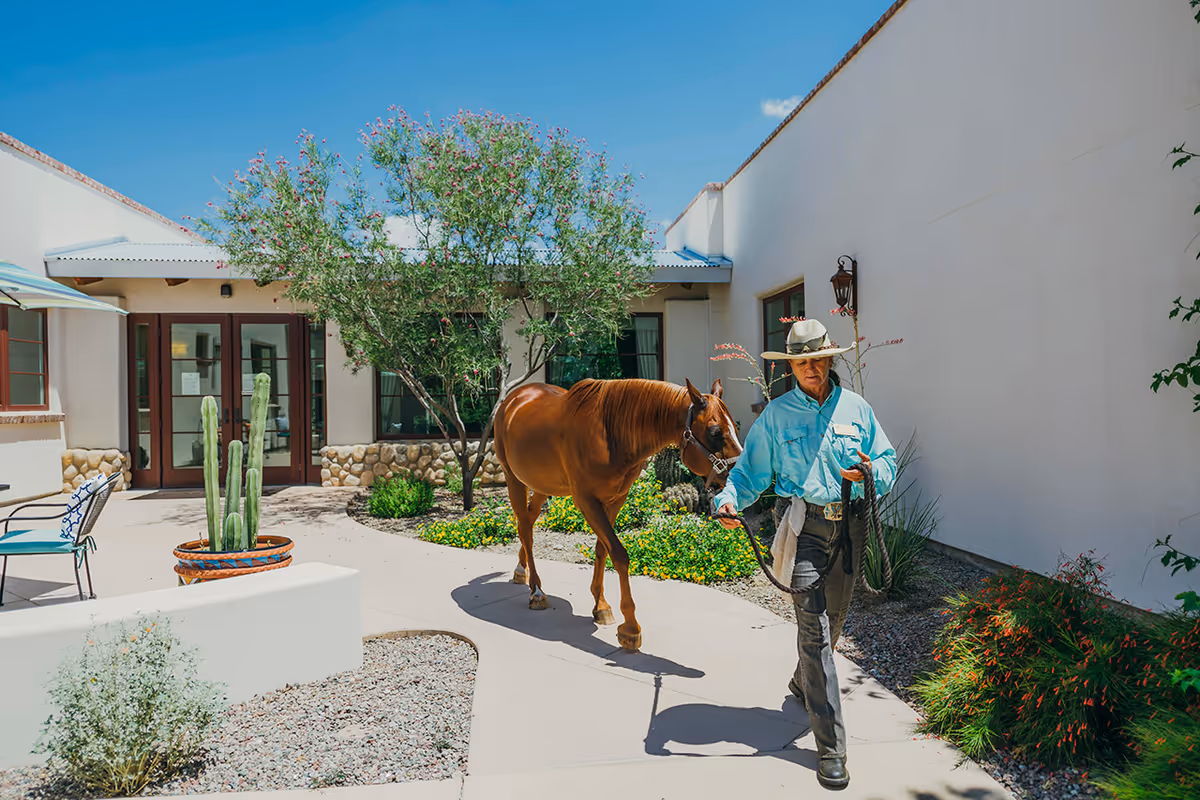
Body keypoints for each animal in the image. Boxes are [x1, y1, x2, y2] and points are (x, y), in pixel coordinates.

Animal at [492, 377, 743, 652]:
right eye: (715, 432)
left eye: (734, 428)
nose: (739, 472)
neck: (608, 434)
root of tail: (515, 397)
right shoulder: (586, 500)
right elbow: (619, 554)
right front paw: (630, 628)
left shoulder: (616, 499)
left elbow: (603, 550)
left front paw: (600, 606)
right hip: (513, 479)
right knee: (524, 528)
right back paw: (536, 591)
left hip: (542, 485)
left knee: (527, 521)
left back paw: (521, 571)